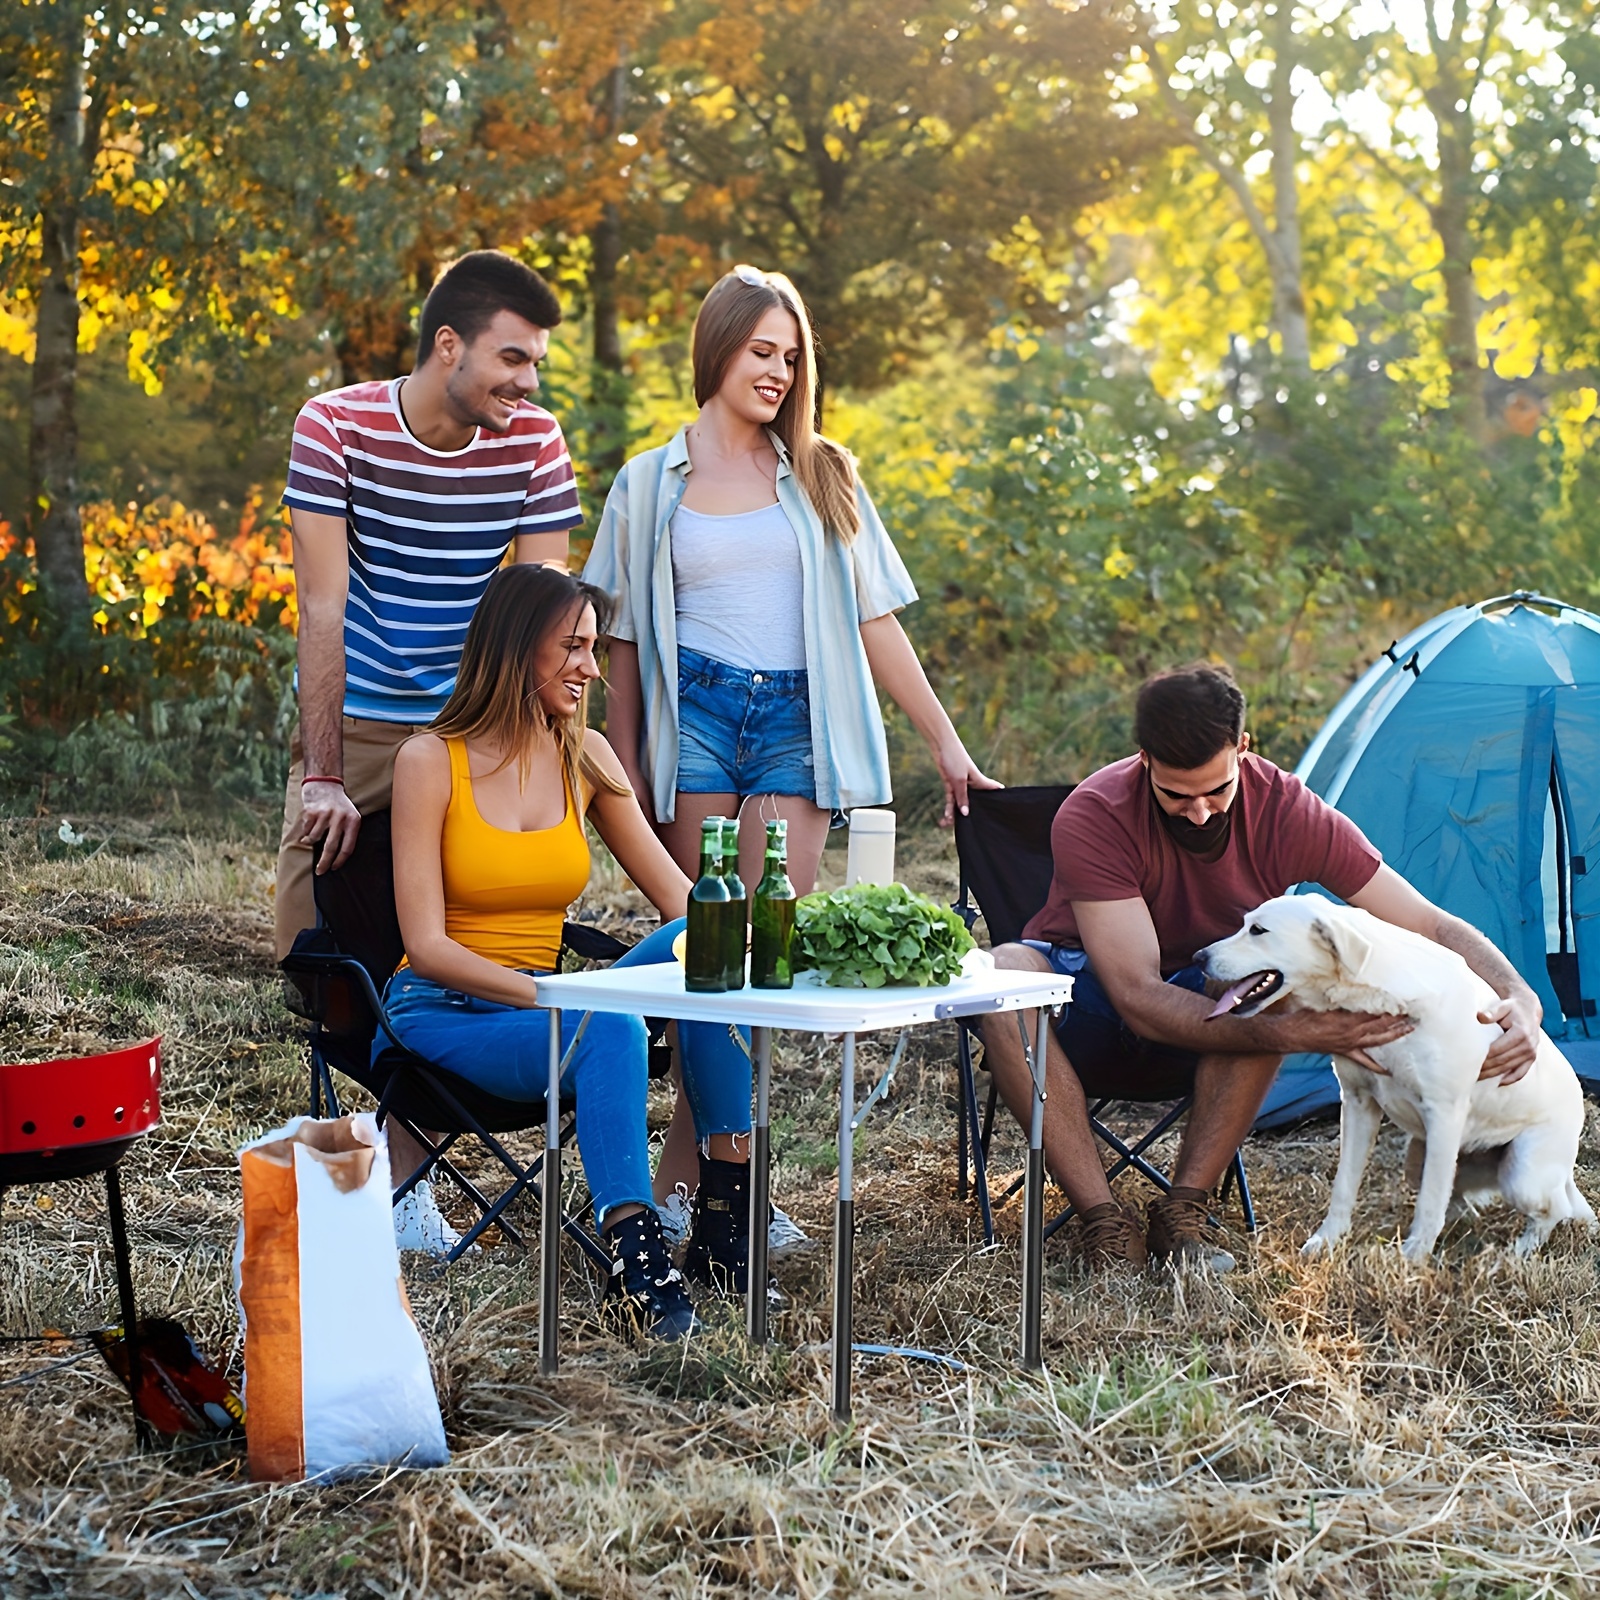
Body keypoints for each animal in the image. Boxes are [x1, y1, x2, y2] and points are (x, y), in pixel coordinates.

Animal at [1203, 896, 1587, 1254]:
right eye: (1244, 924)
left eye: (1258, 930)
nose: (1198, 957)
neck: (1381, 995)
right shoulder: (1357, 1104)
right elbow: (1345, 1185)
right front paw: (1327, 1240)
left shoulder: (1444, 1114)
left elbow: (1430, 1202)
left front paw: (1413, 1257)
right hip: (1419, 1160)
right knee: (1461, 1201)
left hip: (1520, 1177)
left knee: (1554, 1210)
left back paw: (1519, 1252)